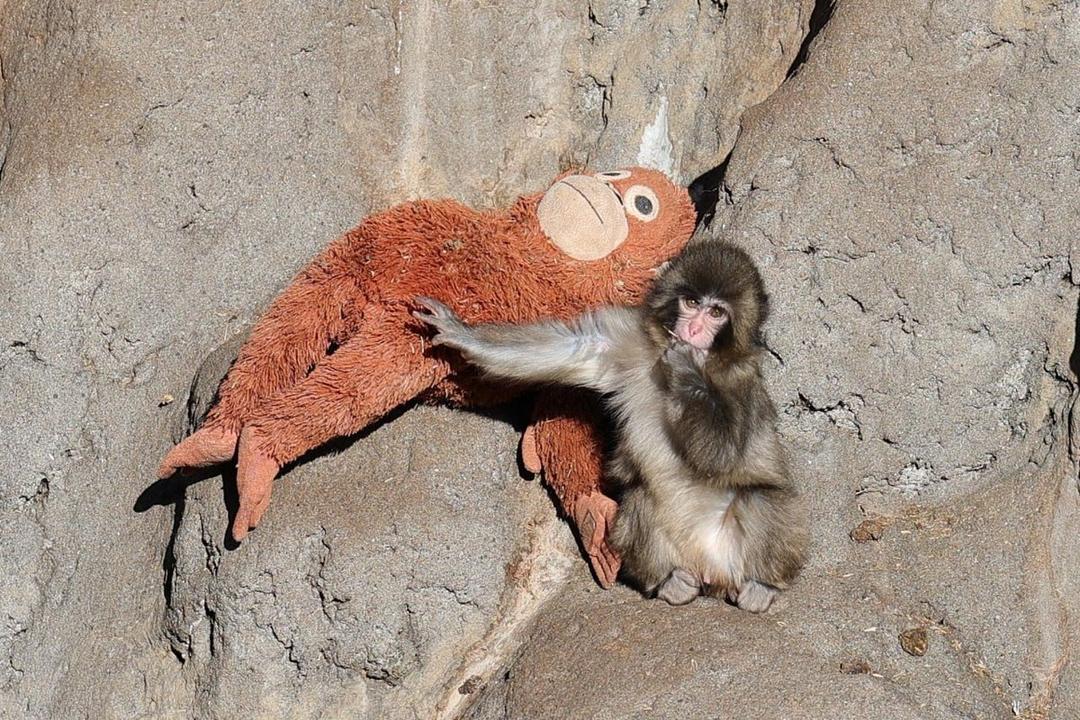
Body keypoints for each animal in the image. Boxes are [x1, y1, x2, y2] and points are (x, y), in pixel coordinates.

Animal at [412, 242, 807, 611]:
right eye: (692, 301)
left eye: (716, 312)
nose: (694, 329)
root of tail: (711, 571)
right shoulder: (628, 338)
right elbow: (578, 347)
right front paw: (459, 331)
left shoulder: (742, 380)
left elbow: (724, 456)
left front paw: (686, 366)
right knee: (639, 496)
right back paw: (670, 583)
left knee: (759, 496)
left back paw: (761, 587)